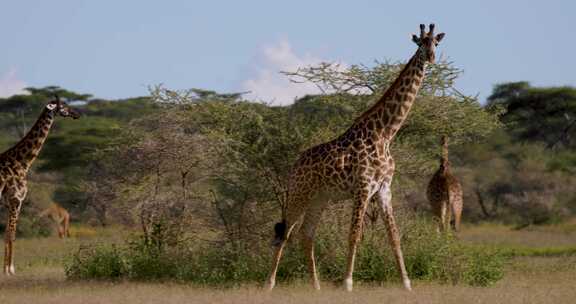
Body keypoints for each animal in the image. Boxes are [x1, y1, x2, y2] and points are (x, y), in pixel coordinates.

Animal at [0, 97, 79, 276]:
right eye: (62, 106)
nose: (76, 113)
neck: (22, 162)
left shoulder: (8, 203)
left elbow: (7, 233)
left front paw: (6, 269)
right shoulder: (16, 200)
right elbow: (11, 234)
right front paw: (10, 270)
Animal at [266, 24, 446, 292]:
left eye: (436, 42)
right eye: (420, 43)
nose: (432, 58)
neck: (385, 134)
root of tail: (294, 166)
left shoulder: (384, 189)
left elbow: (394, 236)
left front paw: (406, 283)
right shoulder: (363, 186)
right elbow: (354, 235)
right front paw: (347, 283)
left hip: (320, 198)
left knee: (306, 234)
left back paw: (316, 286)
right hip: (299, 194)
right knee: (285, 232)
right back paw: (269, 283)